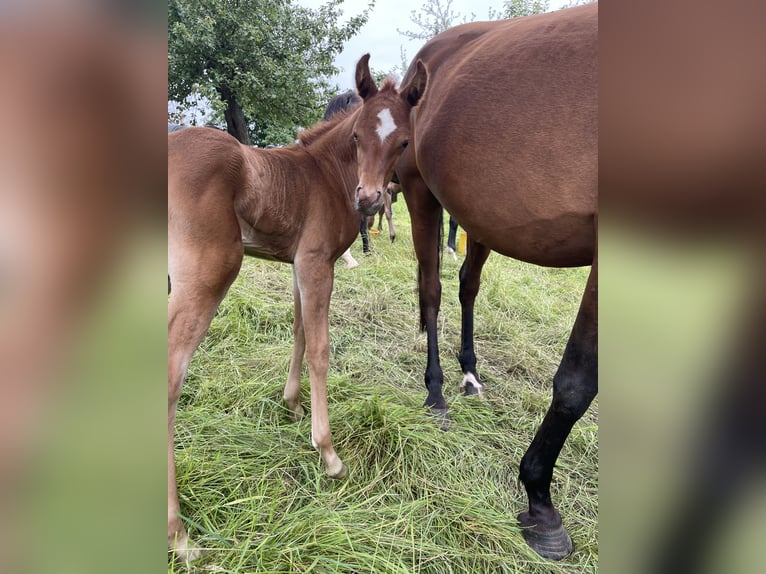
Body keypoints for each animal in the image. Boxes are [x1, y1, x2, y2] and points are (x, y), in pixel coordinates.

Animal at [168, 55, 428, 564]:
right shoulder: (316, 263)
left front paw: (290, 404)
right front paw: (328, 454)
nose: (370, 198)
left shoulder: (298, 263)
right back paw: (180, 536)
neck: (326, 174)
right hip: (207, 275)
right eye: (356, 136)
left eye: (403, 141)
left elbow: (298, 331)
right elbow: (321, 349)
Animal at [390, 5, 600, 564]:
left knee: (467, 285)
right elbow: (577, 384)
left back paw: (469, 373)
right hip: (419, 192)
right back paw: (437, 395)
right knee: (434, 292)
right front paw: (541, 505)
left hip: (478, 216)